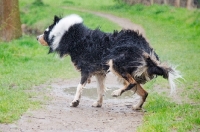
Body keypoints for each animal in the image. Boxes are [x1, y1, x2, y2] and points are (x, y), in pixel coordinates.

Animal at [36, 13, 181, 110]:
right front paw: (98, 103)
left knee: (132, 83)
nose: (37, 38)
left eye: (45, 32)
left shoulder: (86, 69)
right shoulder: (100, 73)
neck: (74, 37)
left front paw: (75, 102)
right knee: (144, 92)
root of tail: (146, 50)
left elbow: (79, 86)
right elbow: (100, 89)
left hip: (115, 62)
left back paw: (117, 93)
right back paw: (136, 106)